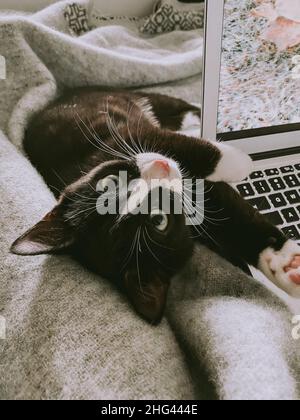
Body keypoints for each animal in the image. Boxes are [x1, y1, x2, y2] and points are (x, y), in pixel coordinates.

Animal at [10, 88, 300, 324]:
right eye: (158, 221)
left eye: (109, 183)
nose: (160, 170)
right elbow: (232, 217)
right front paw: (286, 265)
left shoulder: (128, 139)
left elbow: (169, 142)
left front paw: (238, 160)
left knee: (173, 110)